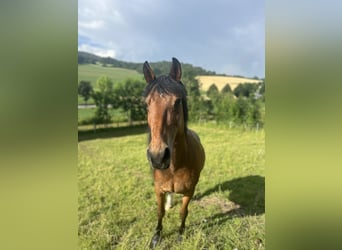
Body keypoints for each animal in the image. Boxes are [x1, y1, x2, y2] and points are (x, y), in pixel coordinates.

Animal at [142, 58, 204, 248]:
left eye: (177, 102)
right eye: (146, 104)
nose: (158, 157)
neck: (176, 166)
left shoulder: (189, 191)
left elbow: (183, 212)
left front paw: (180, 235)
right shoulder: (158, 189)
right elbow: (160, 212)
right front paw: (156, 237)